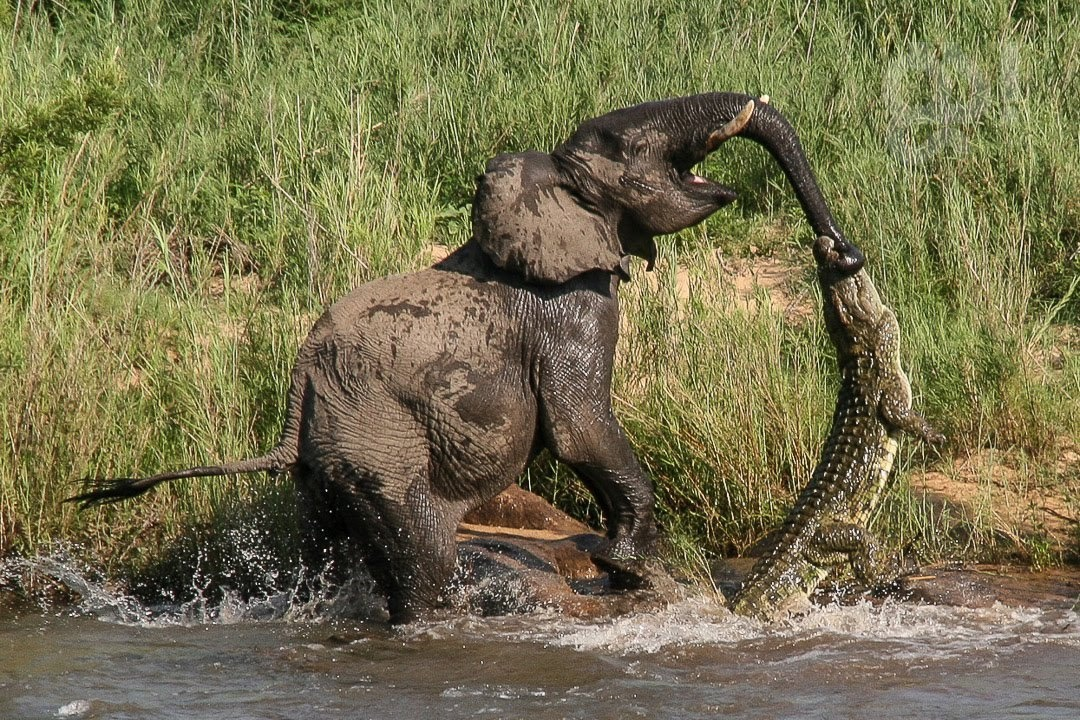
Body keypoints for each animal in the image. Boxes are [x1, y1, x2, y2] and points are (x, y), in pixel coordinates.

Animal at [71, 91, 864, 626]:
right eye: (620, 143)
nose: (842, 252)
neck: (547, 189)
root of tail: (300, 387)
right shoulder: (572, 306)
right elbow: (579, 426)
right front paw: (631, 569)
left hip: (328, 461)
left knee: (322, 546)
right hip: (378, 441)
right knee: (423, 556)